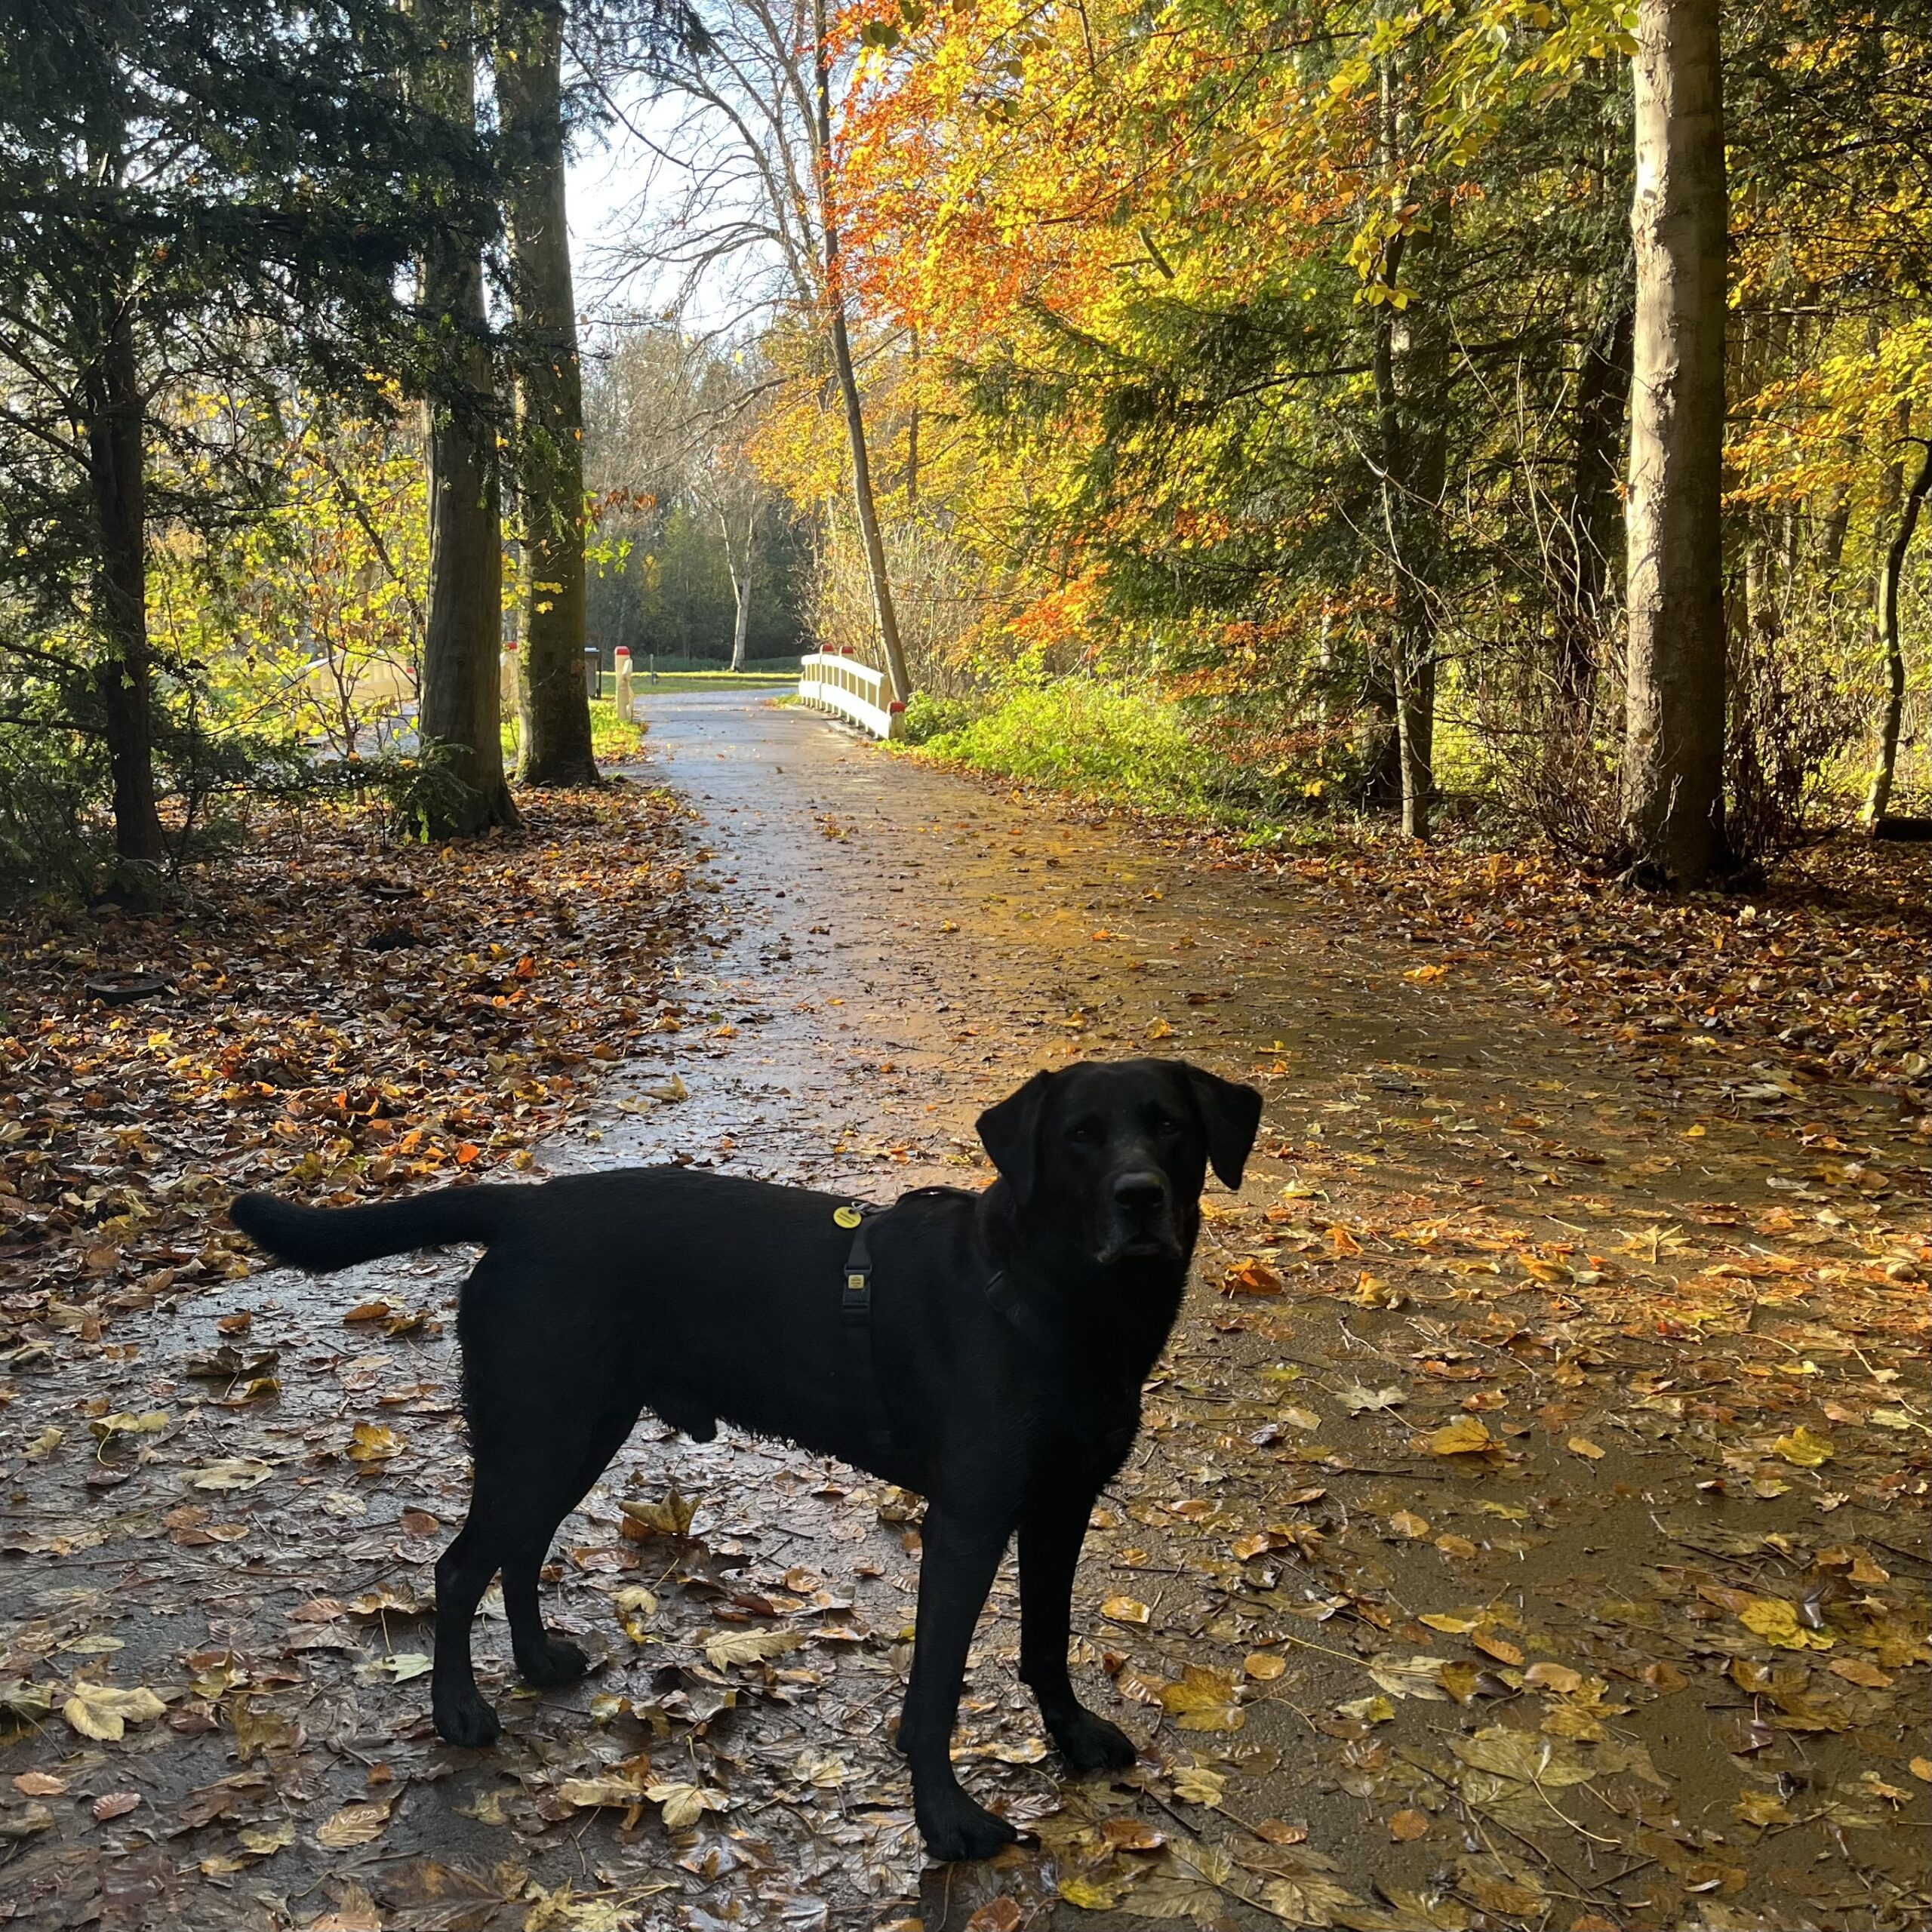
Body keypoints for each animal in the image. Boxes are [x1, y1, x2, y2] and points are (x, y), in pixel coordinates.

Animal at [230, 1056, 1262, 1861]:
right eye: (1081, 1137)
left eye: (1170, 1127)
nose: (1140, 1198)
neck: (1063, 1306)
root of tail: (526, 1209)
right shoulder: (968, 1521)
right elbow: (934, 1689)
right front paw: (946, 1819)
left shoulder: (1062, 1505)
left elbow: (1046, 1639)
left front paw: (1072, 1735)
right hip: (541, 1428)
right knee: (457, 1566)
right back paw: (458, 1711)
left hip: (576, 1431)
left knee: (514, 1552)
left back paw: (536, 1659)